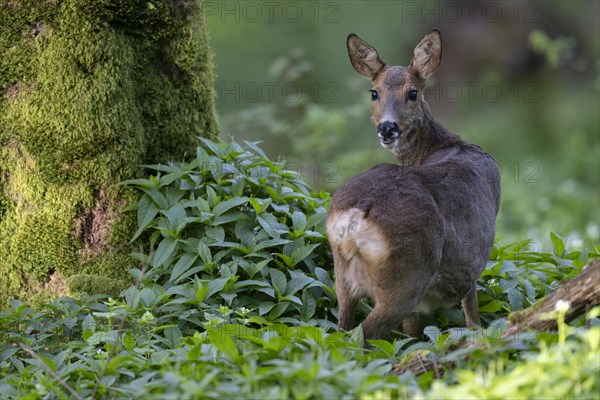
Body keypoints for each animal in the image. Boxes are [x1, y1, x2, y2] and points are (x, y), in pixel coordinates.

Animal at [326, 29, 500, 340]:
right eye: (374, 92)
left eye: (413, 93)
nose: (387, 128)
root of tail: (355, 218)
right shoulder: (471, 268)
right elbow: (473, 319)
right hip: (407, 277)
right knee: (364, 333)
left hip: (342, 277)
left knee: (340, 330)